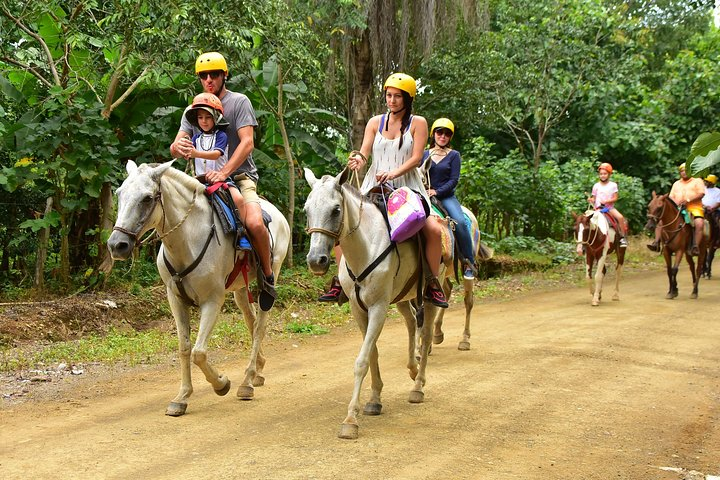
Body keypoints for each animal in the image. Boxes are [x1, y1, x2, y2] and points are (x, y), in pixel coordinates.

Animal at [106, 161, 290, 416]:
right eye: (120, 194)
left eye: (147, 198)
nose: (117, 245)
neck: (188, 240)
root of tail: (278, 214)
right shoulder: (174, 298)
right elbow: (184, 349)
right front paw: (182, 397)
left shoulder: (212, 300)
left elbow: (199, 352)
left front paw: (221, 384)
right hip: (239, 289)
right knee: (251, 320)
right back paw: (257, 371)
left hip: (271, 275)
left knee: (260, 325)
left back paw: (247, 382)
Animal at [300, 168, 448, 438]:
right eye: (306, 210)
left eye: (336, 210)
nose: (316, 260)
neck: (364, 248)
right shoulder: (359, 309)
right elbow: (372, 354)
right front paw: (374, 400)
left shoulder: (378, 307)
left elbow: (361, 360)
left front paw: (350, 419)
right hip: (401, 297)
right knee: (411, 323)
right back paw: (412, 368)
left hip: (430, 292)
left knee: (426, 334)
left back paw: (418, 385)